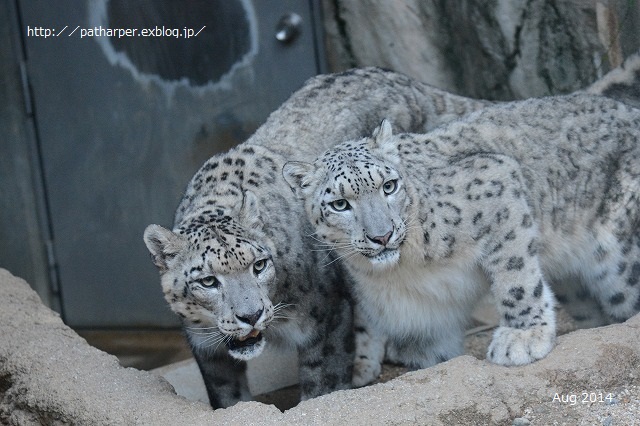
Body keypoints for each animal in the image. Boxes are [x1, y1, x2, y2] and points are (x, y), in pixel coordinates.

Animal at [142, 65, 490, 406]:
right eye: (208, 281)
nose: (251, 315)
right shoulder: (206, 348)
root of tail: (407, 82)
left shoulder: (326, 317)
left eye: (258, 265)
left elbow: (321, 382)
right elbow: (229, 398)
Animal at [284, 91, 640, 384]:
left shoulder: (498, 183)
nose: (382, 236)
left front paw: (522, 338)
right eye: (339, 204)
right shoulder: (426, 317)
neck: (403, 271)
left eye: (389, 186)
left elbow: (516, 276)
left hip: (616, 261)